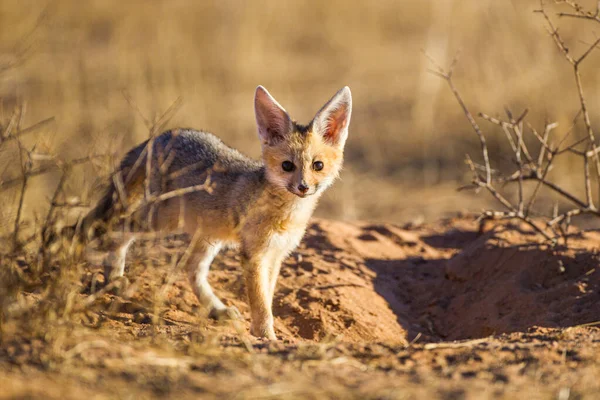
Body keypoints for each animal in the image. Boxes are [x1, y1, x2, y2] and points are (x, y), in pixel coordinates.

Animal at [80, 86, 352, 340]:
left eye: (318, 166)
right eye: (287, 166)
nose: (303, 187)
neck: (289, 215)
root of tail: (161, 136)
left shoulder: (275, 255)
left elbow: (267, 297)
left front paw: (264, 331)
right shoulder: (254, 256)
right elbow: (261, 302)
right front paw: (266, 336)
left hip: (208, 235)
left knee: (192, 269)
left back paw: (217, 309)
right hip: (160, 220)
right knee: (118, 230)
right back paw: (114, 278)